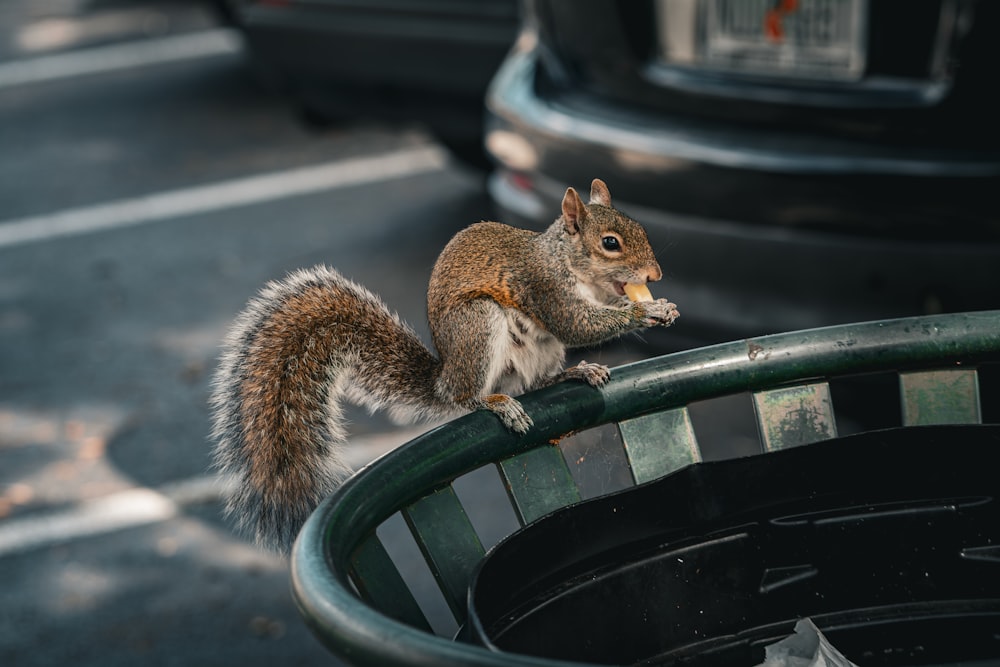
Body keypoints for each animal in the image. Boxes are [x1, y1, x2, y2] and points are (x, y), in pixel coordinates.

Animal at [210, 180, 680, 552]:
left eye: (640, 229)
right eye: (610, 243)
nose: (655, 276)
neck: (568, 263)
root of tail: (444, 375)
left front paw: (662, 308)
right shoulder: (545, 288)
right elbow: (577, 323)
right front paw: (645, 312)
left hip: (540, 351)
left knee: (537, 383)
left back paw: (576, 372)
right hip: (478, 325)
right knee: (467, 396)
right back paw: (493, 403)